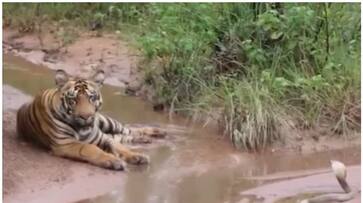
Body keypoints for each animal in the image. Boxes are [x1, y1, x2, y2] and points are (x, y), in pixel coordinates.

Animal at [16, 69, 166, 170]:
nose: (86, 116)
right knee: (122, 135)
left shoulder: (101, 137)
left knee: (127, 130)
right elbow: (91, 148)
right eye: (73, 100)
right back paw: (146, 139)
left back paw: (156, 132)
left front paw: (137, 156)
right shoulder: (65, 143)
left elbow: (121, 148)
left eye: (91, 98)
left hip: (107, 122)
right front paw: (114, 161)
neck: (83, 129)